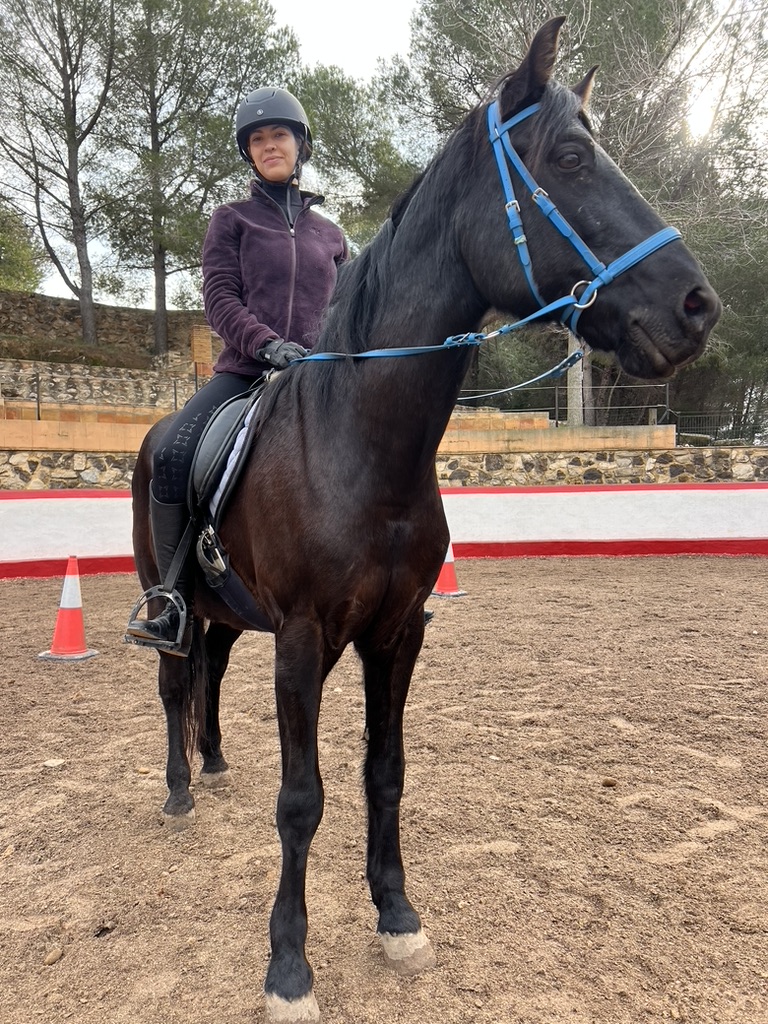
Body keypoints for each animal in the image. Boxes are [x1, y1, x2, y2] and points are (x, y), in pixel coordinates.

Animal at [130, 18, 720, 1023]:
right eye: (570, 158)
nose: (698, 305)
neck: (360, 445)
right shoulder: (302, 638)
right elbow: (302, 799)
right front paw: (288, 969)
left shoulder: (396, 633)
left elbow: (385, 774)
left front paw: (398, 917)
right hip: (171, 598)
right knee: (176, 680)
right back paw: (178, 792)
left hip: (229, 611)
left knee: (211, 667)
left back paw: (210, 766)